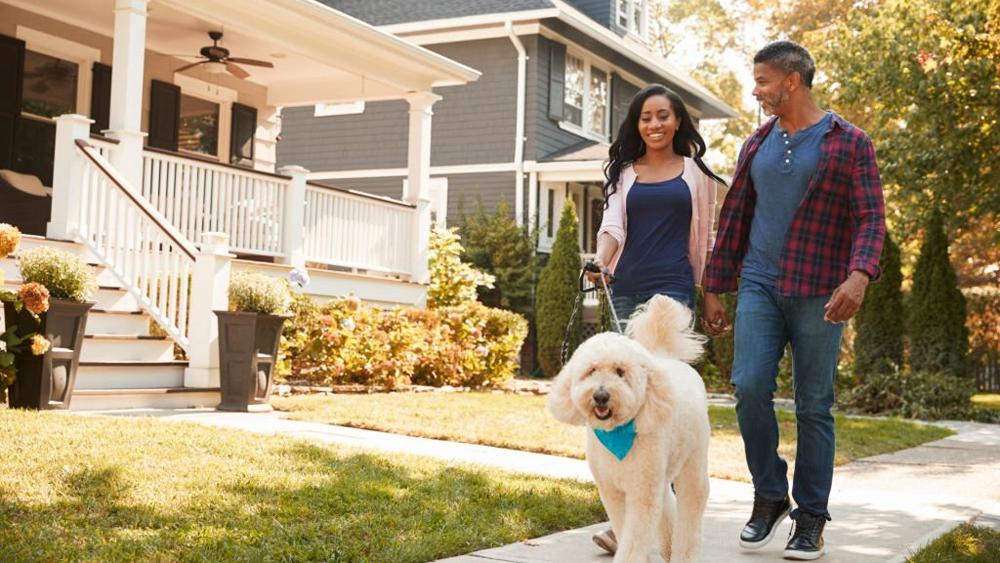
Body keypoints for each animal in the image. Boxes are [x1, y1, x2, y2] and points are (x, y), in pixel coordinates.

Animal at [548, 296, 712, 563]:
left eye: (620, 371)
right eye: (591, 370)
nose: (601, 396)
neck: (617, 433)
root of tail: (665, 357)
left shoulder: (641, 493)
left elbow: (634, 539)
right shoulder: (612, 491)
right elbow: (623, 527)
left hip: (692, 462)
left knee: (691, 504)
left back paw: (682, 553)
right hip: (660, 473)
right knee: (667, 500)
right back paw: (667, 547)